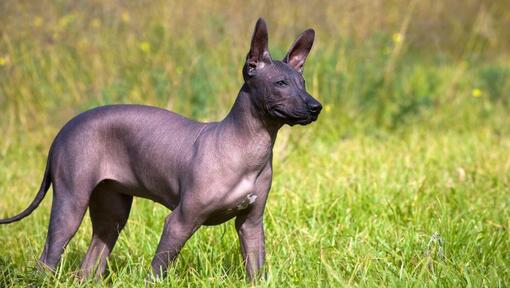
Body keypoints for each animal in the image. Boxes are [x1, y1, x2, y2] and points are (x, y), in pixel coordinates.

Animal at [0, 16, 320, 280]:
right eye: (280, 83)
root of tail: (64, 129)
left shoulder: (251, 224)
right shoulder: (179, 221)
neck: (246, 147)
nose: (316, 106)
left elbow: (257, 271)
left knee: (89, 265)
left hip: (112, 213)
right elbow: (157, 272)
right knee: (47, 259)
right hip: (71, 203)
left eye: (302, 83)